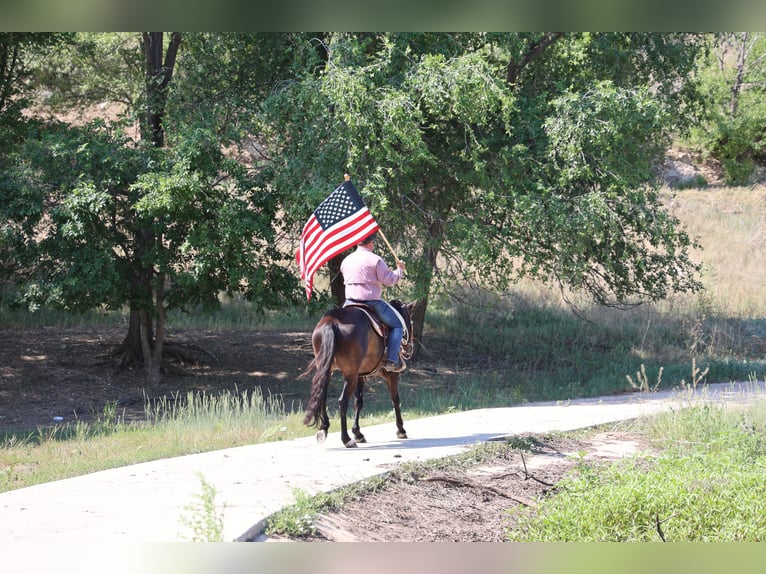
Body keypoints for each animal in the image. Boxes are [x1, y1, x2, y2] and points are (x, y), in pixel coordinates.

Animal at [302, 302, 420, 450]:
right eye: (411, 322)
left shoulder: (359, 376)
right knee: (342, 401)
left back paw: (323, 428)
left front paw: (358, 433)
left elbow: (359, 402)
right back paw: (346, 439)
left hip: (327, 369)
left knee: (322, 395)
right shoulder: (391, 375)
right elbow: (395, 400)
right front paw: (401, 430)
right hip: (349, 374)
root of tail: (332, 321)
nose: (409, 349)